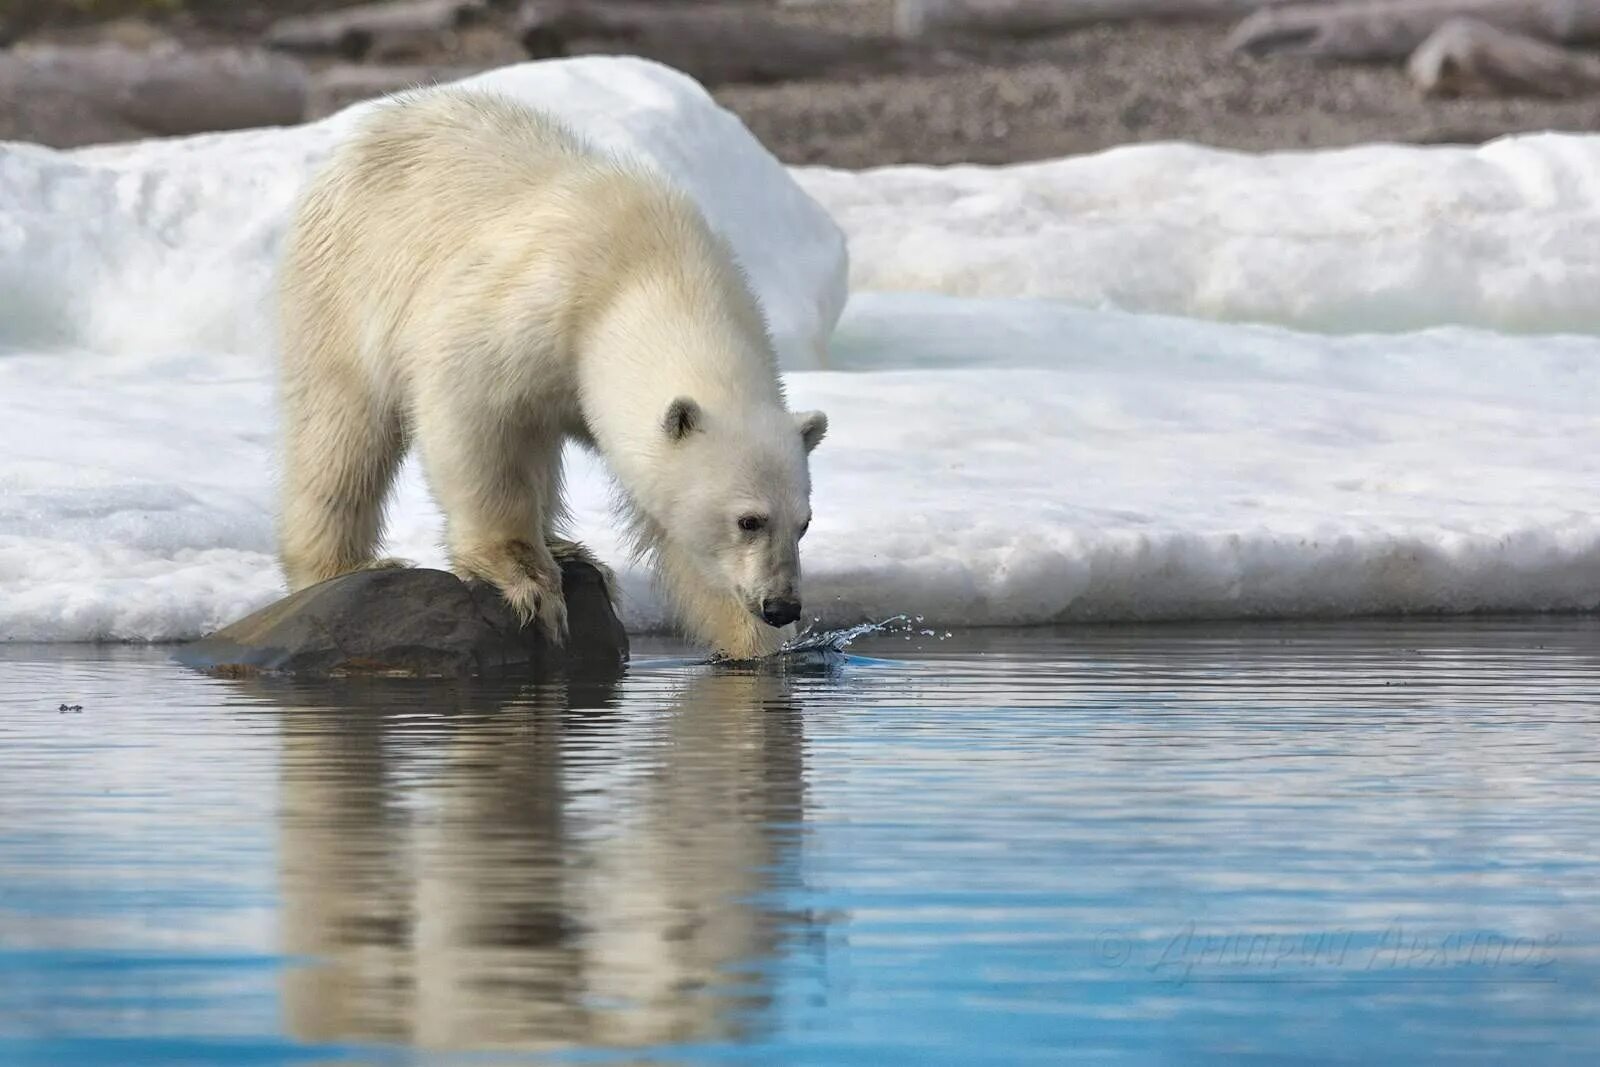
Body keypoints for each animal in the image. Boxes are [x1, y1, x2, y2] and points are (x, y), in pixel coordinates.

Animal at [275, 91, 825, 659]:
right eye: (749, 520)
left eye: (804, 523)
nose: (782, 605)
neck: (655, 274)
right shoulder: (532, 309)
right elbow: (474, 418)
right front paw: (528, 582)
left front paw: (756, 645)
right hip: (344, 283)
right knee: (342, 432)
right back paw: (344, 563)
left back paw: (569, 547)